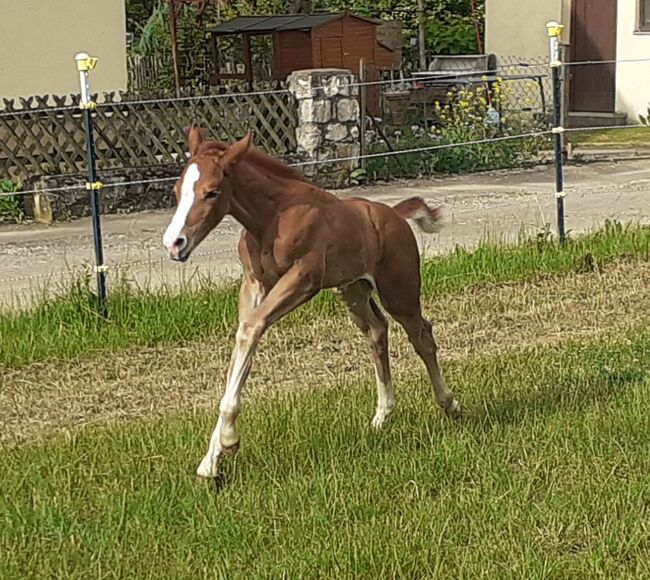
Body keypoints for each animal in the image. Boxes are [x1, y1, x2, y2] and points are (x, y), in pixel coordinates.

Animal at [162, 128, 460, 480]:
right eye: (177, 190)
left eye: (212, 192)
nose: (174, 244)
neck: (272, 217)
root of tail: (395, 215)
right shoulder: (254, 285)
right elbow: (243, 338)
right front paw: (211, 460)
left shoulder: (303, 279)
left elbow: (251, 328)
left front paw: (229, 442)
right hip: (353, 291)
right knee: (377, 332)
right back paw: (382, 416)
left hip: (398, 291)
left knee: (421, 336)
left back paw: (450, 404)